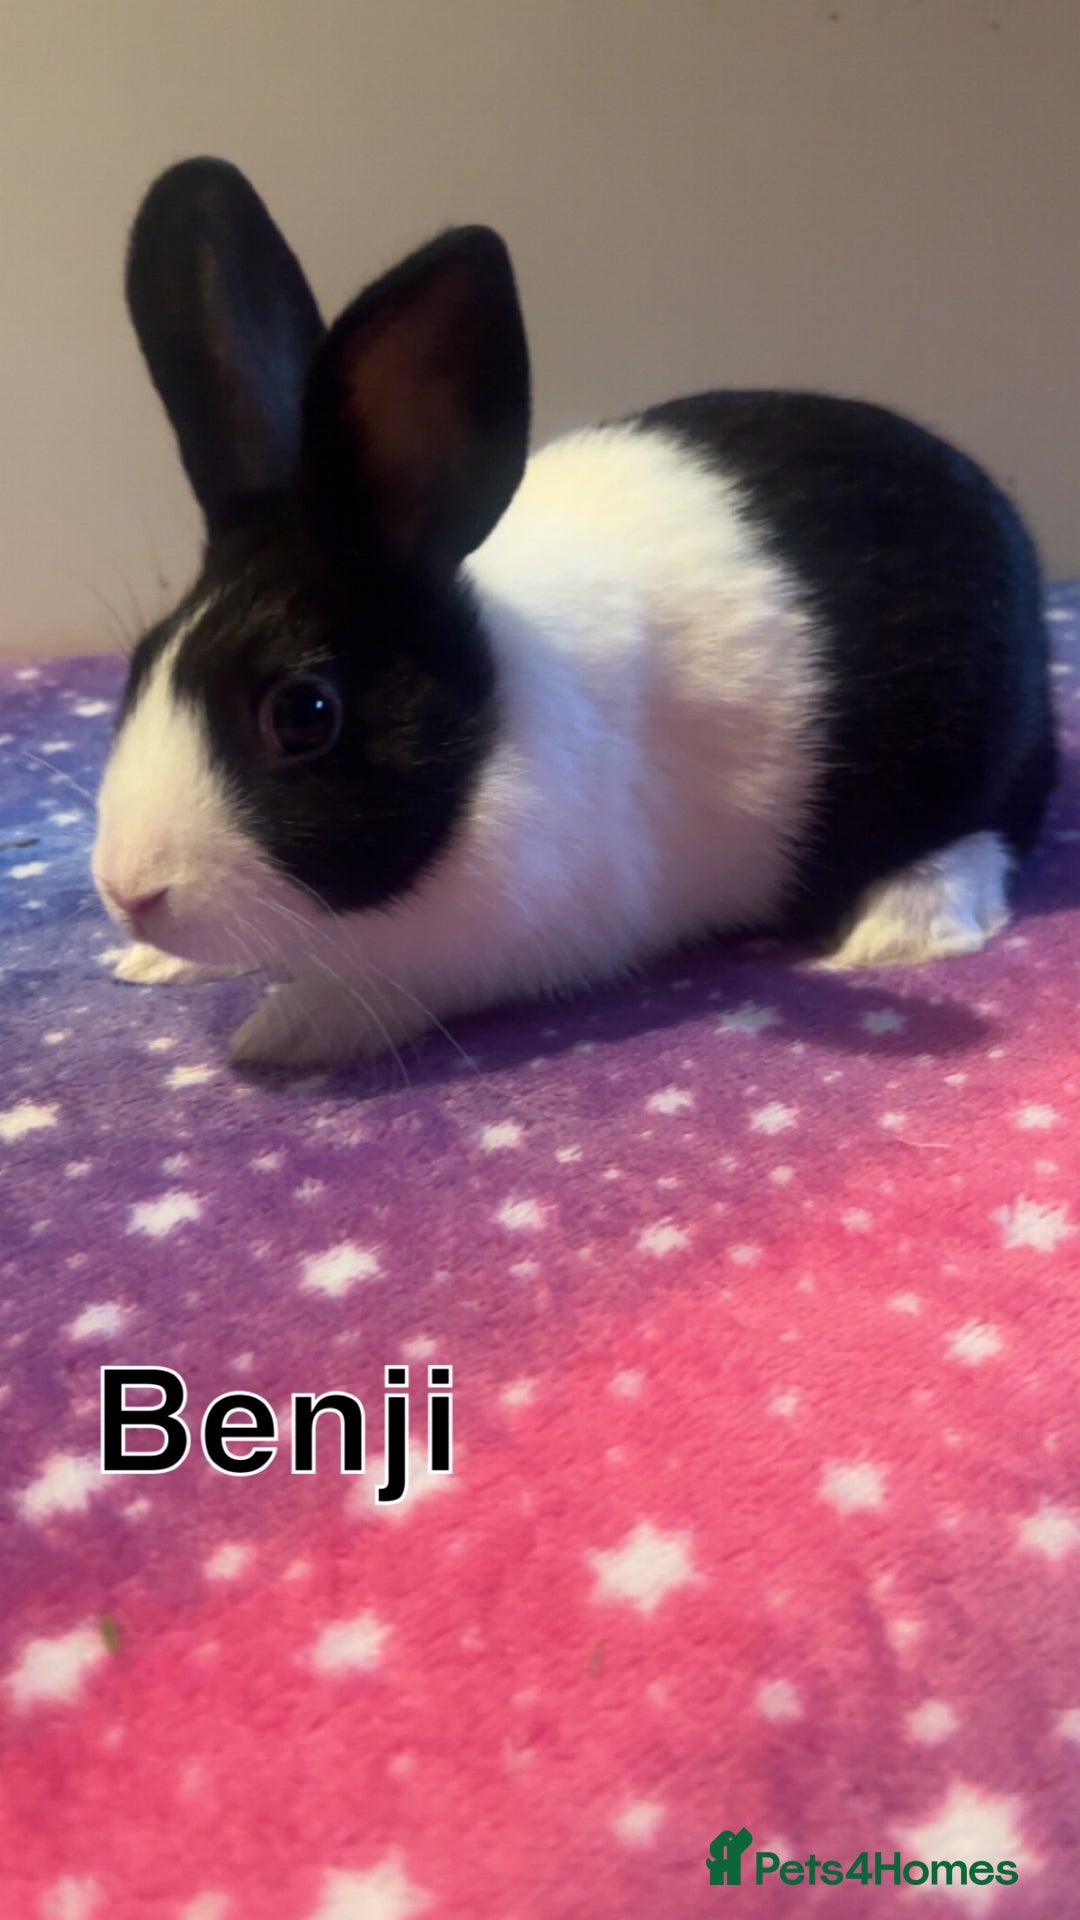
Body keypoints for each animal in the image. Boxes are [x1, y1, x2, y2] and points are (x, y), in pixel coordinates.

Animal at [92, 157, 1057, 1069]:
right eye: (138, 667)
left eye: (304, 714)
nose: (130, 894)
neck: (490, 729)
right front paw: (157, 963)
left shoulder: (534, 929)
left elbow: (399, 983)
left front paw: (290, 1028)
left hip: (972, 740)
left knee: (993, 828)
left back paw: (900, 928)